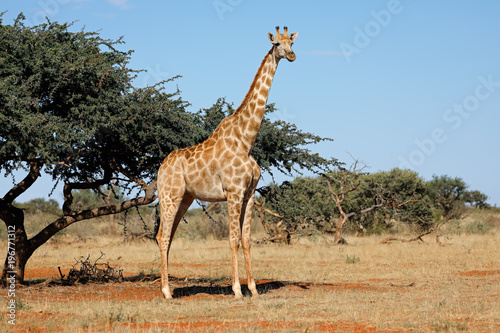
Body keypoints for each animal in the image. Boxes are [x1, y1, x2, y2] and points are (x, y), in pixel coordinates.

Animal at [156, 26, 296, 298]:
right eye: (277, 44)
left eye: (292, 42)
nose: (292, 55)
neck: (246, 140)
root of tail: (160, 168)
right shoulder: (233, 192)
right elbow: (232, 239)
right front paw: (237, 290)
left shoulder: (250, 193)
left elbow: (246, 239)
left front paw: (253, 289)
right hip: (170, 196)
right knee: (163, 236)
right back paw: (166, 291)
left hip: (185, 198)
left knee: (166, 235)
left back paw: (170, 289)